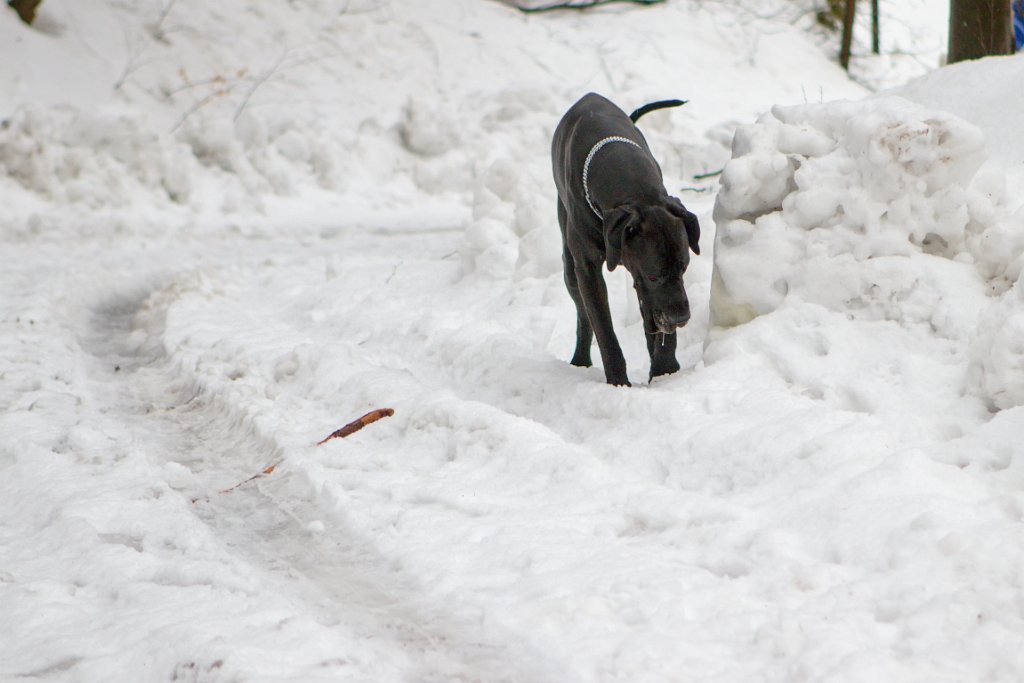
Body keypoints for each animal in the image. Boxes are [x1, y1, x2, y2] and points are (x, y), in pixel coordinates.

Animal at [552, 93, 704, 387]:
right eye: (655, 275)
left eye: (684, 268)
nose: (681, 317)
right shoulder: (592, 270)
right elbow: (603, 328)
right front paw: (618, 383)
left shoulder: (645, 280)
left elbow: (657, 322)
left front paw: (665, 372)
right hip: (570, 266)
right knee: (583, 315)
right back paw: (580, 361)